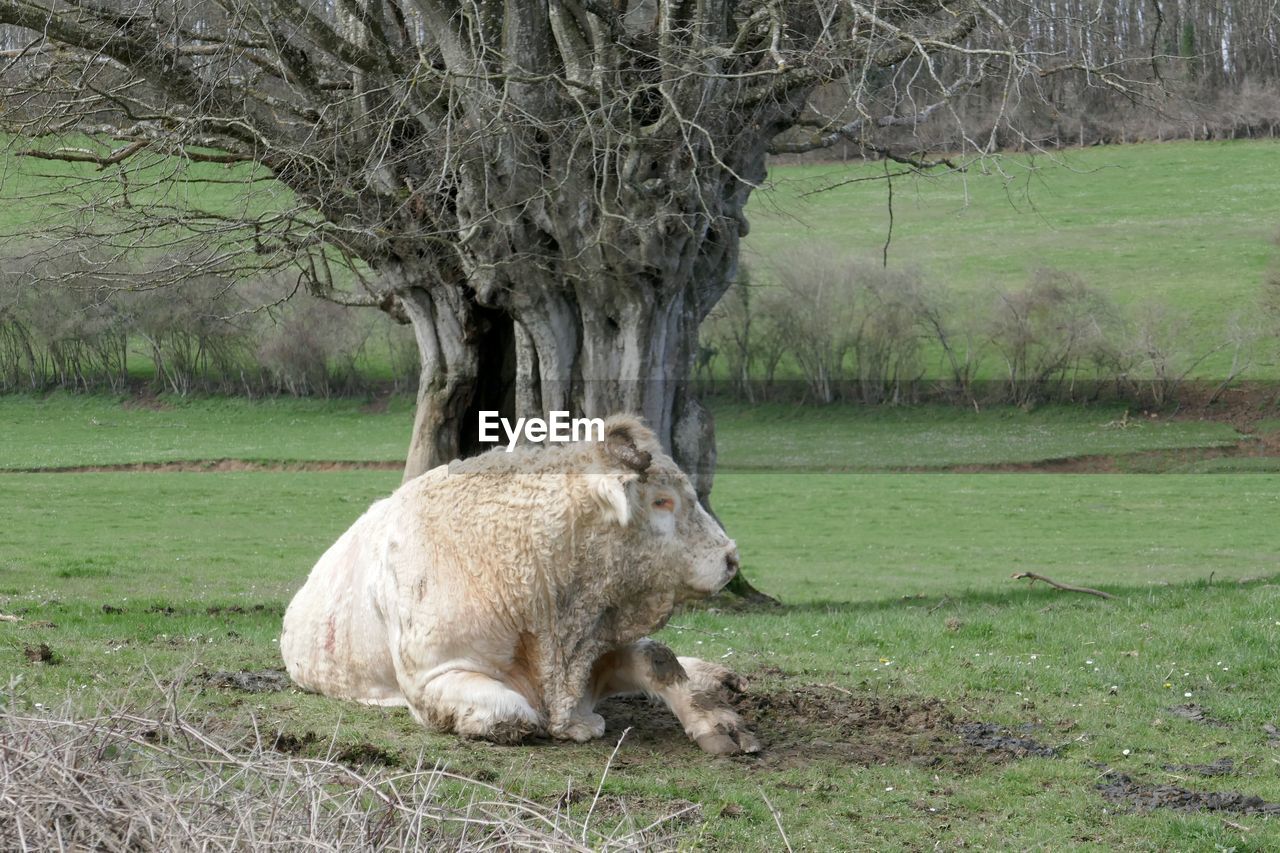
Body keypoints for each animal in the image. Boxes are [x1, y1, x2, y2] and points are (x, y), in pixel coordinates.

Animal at [280, 412, 757, 753]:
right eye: (662, 501)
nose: (731, 557)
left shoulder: (589, 651)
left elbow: (659, 657)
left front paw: (718, 723)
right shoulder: (432, 677)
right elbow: (515, 716)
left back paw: (719, 674)